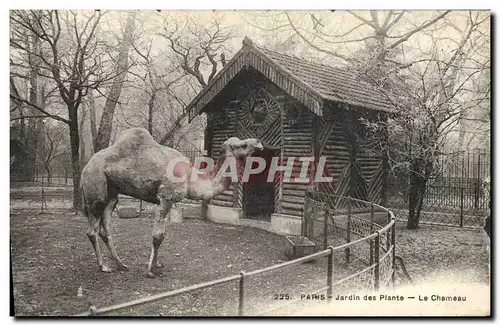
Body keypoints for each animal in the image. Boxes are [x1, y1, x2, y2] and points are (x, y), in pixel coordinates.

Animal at [80, 128, 264, 278]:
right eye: (241, 145)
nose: (259, 142)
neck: (191, 178)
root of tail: (85, 166)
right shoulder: (166, 197)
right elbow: (158, 235)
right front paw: (150, 270)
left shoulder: (163, 200)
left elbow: (161, 235)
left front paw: (157, 264)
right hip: (95, 189)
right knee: (92, 230)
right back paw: (103, 266)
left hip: (112, 194)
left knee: (105, 228)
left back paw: (121, 265)